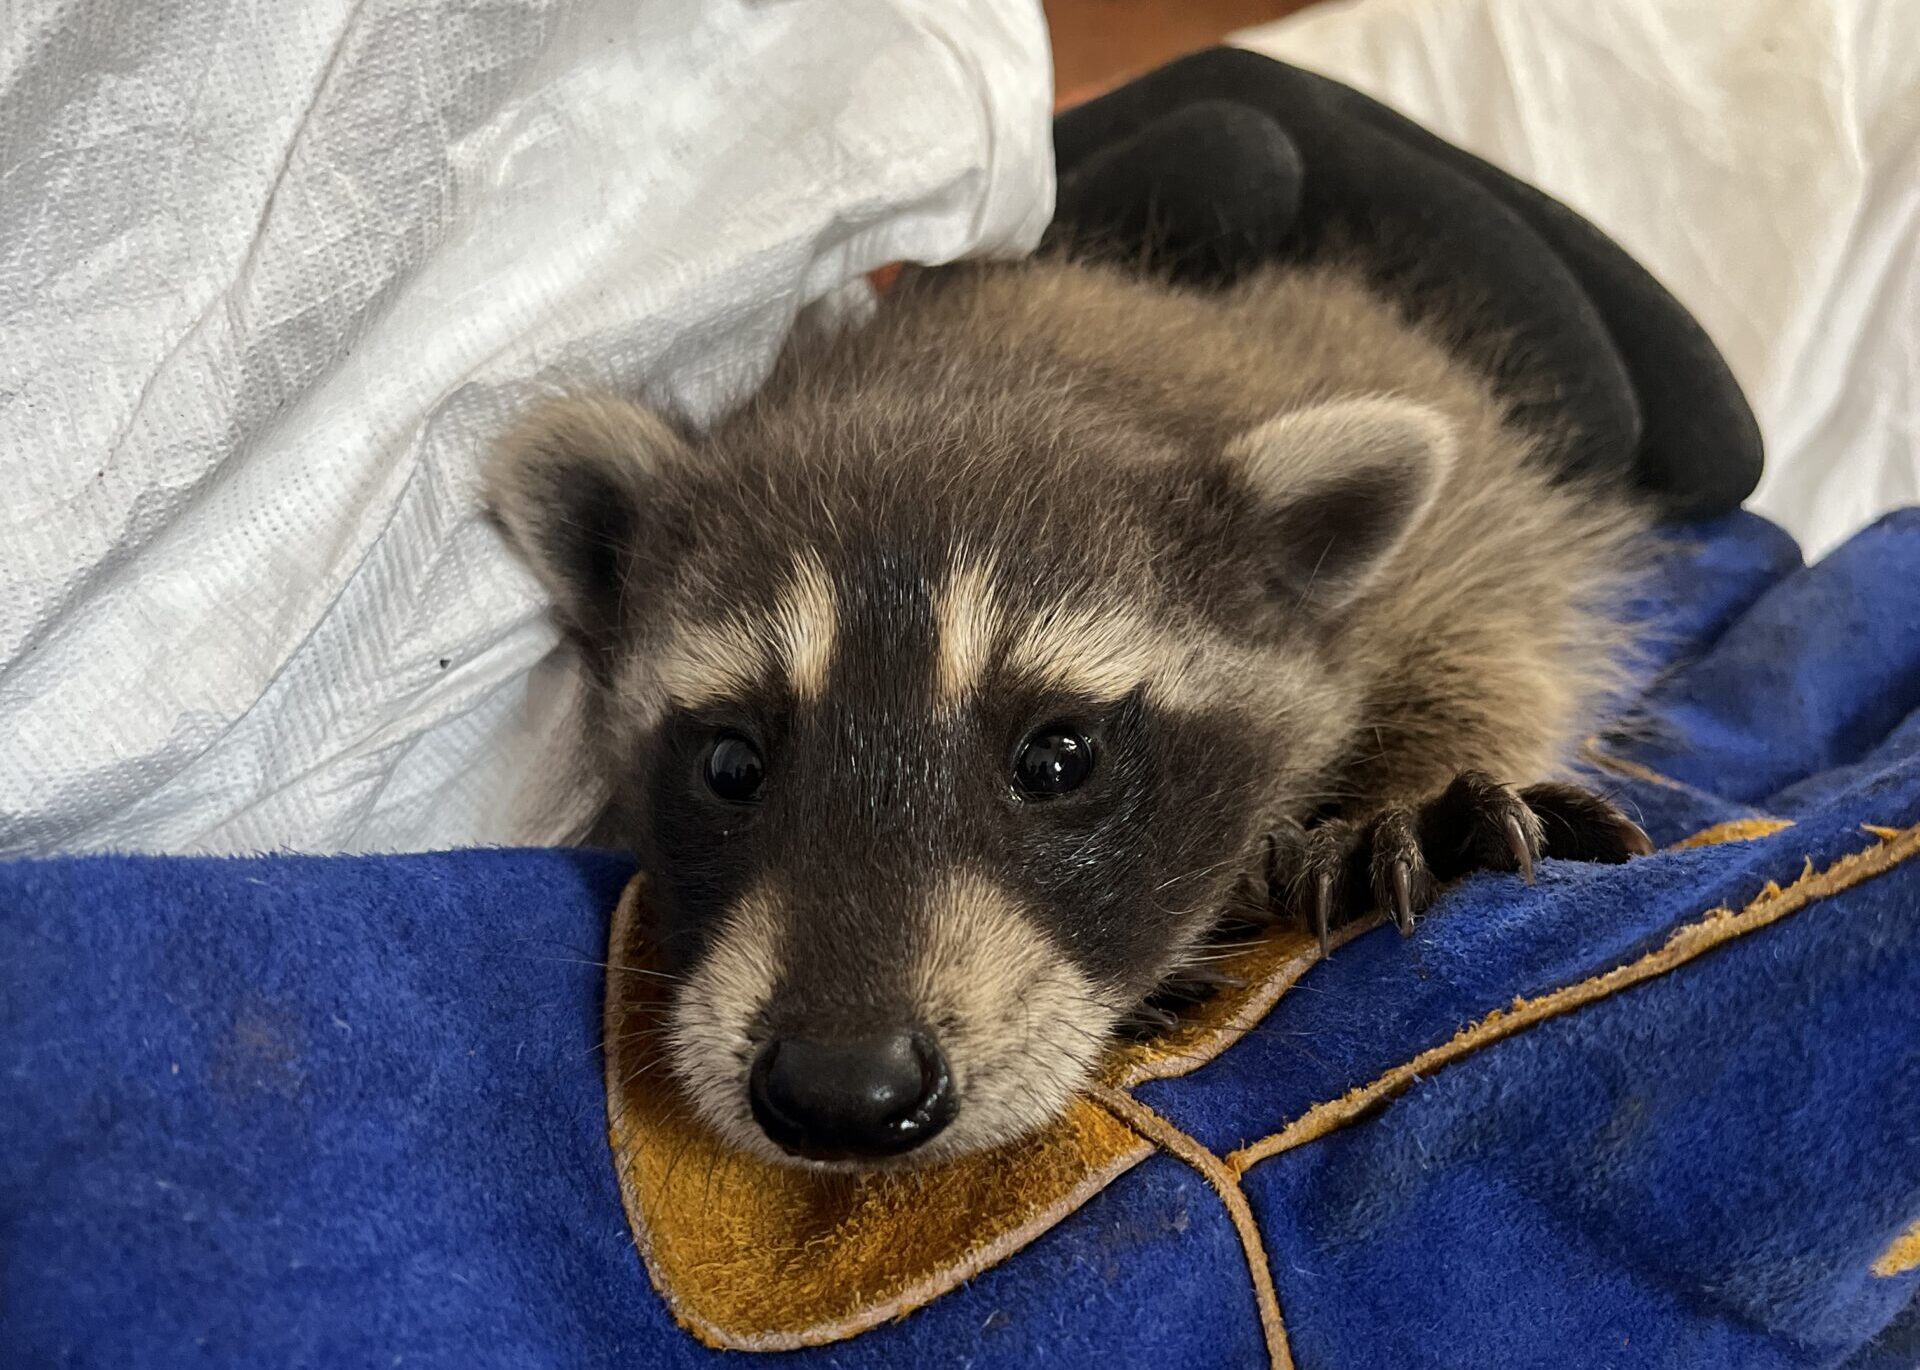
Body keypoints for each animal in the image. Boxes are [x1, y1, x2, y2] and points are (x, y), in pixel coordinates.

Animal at [485, 256, 1653, 1170]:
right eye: (731, 765)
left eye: (1059, 759)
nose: (842, 1086)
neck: (978, 372)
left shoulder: (1444, 492)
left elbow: (1495, 612)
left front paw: (1411, 786)